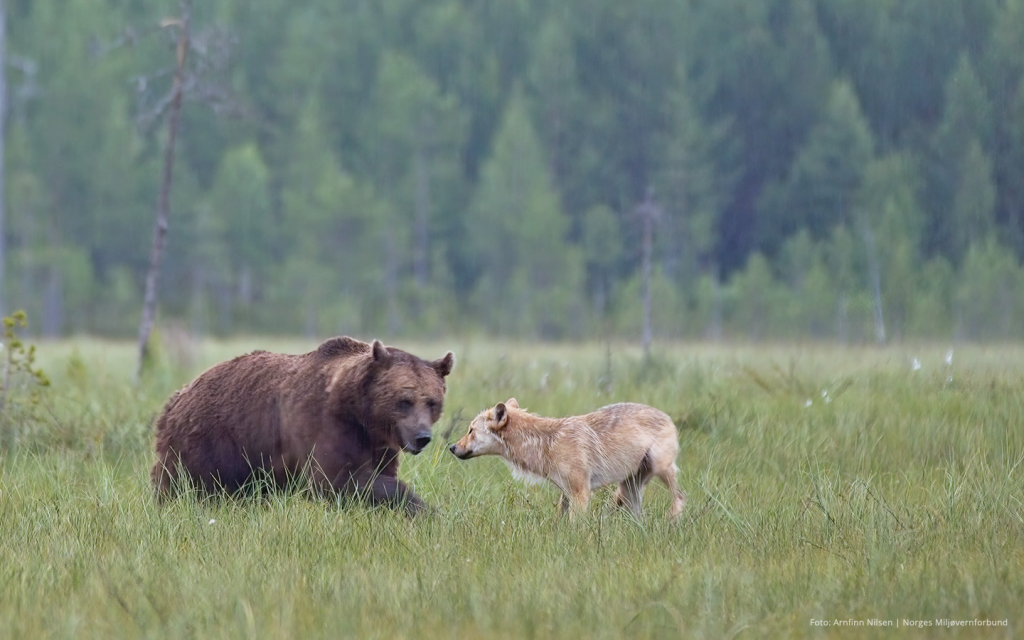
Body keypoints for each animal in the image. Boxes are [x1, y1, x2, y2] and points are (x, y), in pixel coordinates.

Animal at [149, 333, 454, 514]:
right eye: (405, 400)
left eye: (432, 402)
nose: (422, 436)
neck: (361, 413)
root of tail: (178, 396)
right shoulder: (323, 425)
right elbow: (336, 479)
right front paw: (423, 507)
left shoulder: (378, 445)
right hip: (207, 442)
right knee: (180, 484)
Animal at [448, 399, 688, 520]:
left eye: (470, 430)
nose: (451, 447)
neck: (546, 444)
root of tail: (668, 417)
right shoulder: (566, 493)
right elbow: (559, 521)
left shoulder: (581, 492)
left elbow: (575, 526)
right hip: (630, 487)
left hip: (659, 469)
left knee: (680, 497)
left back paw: (671, 520)